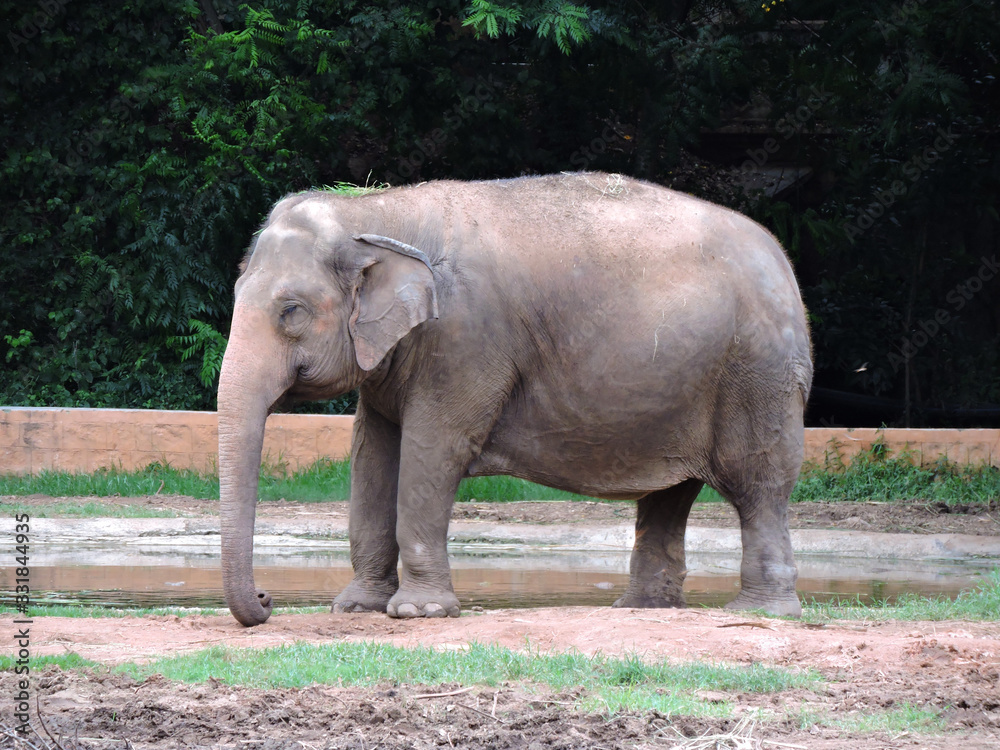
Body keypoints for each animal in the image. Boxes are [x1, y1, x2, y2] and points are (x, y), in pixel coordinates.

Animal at [217, 171, 812, 627]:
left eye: (290, 311)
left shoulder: (465, 341)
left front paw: (418, 613)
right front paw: (357, 608)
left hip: (759, 373)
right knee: (668, 494)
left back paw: (763, 612)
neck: (379, 210)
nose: (268, 599)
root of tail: (783, 262)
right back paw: (640, 609)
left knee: (758, 485)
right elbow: (372, 458)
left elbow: (432, 452)